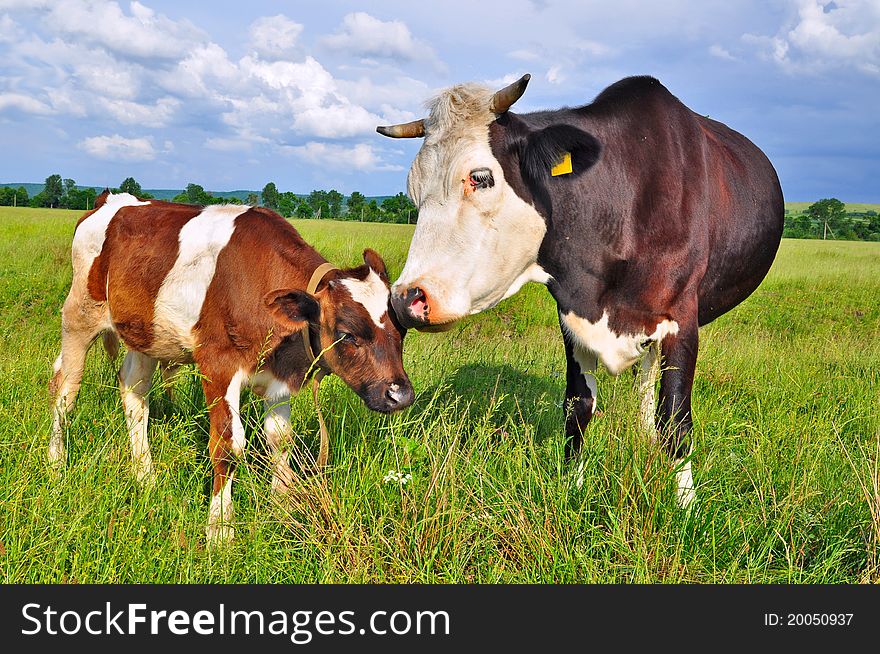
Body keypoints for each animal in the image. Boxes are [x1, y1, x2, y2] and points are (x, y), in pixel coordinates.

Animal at [49, 192, 414, 544]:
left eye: (402, 329)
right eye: (346, 333)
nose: (401, 395)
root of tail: (111, 199)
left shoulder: (280, 377)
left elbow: (280, 439)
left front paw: (281, 508)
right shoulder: (217, 365)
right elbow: (227, 446)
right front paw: (220, 530)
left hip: (145, 334)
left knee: (134, 392)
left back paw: (146, 476)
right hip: (80, 314)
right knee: (65, 388)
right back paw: (56, 463)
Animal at [378, 73, 784, 508]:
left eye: (480, 177)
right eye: (413, 192)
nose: (405, 299)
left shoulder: (682, 319)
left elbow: (675, 419)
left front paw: (685, 506)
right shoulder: (572, 316)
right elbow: (578, 407)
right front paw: (573, 486)